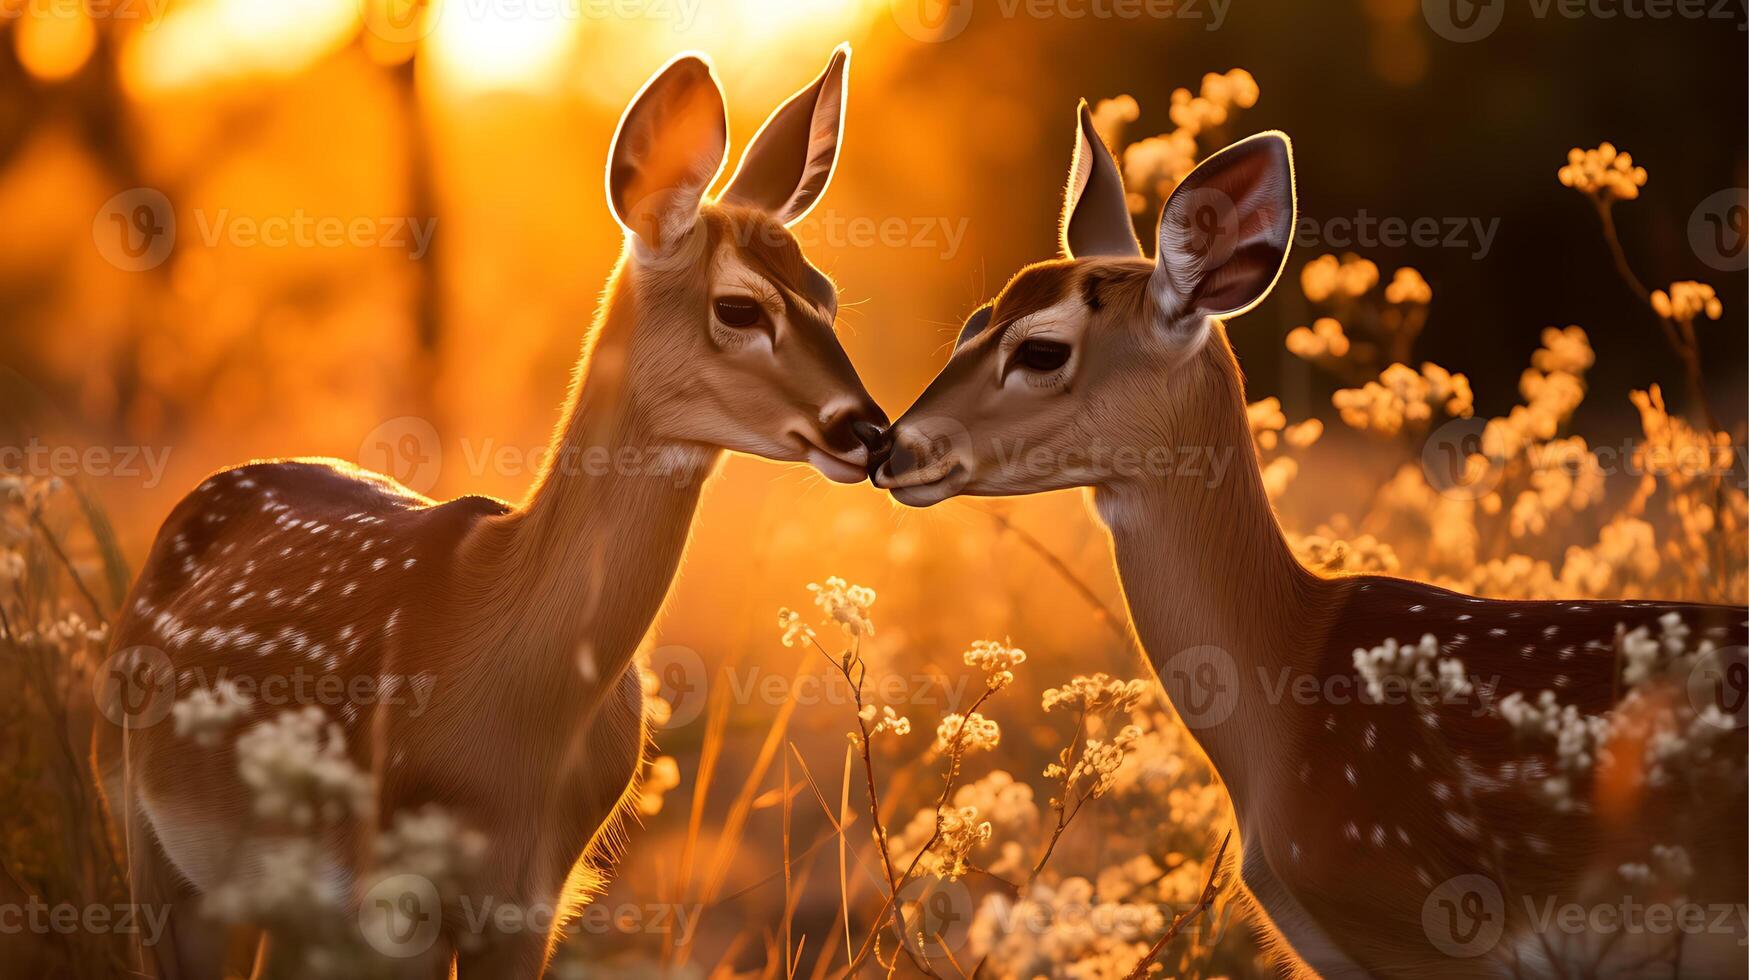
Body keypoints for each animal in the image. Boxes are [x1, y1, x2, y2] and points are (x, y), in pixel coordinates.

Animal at [94, 45, 888, 980]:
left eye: (826, 293)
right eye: (738, 306)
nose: (869, 431)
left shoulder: (531, 898)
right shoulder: (387, 891)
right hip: (147, 834)